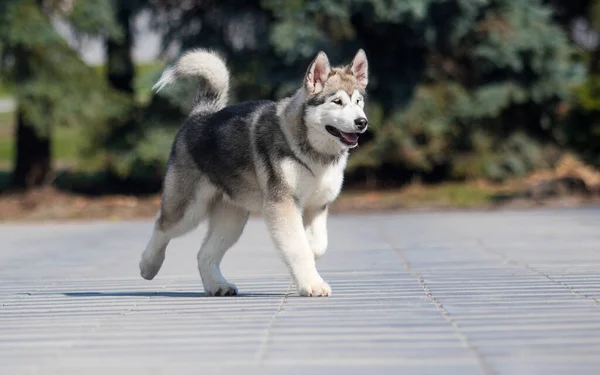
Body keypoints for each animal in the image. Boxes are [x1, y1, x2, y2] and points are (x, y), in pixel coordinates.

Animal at [139, 48, 368, 298]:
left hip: (232, 220)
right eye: (337, 102)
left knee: (204, 254)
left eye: (359, 101)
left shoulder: (317, 206)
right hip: (189, 210)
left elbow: (316, 246)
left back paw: (217, 286)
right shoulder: (283, 205)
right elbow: (299, 248)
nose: (362, 122)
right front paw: (312, 284)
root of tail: (201, 115)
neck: (314, 152)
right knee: (162, 225)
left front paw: (310, 251)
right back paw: (148, 265)